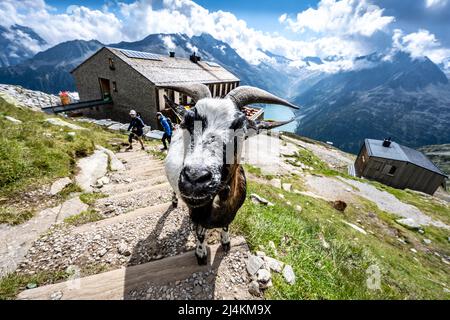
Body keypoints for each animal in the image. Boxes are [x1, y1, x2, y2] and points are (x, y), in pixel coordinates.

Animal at [163, 83, 298, 264]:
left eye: (241, 129)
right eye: (188, 122)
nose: (195, 178)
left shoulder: (231, 213)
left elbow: (226, 226)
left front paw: (226, 242)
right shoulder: (198, 215)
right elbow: (200, 235)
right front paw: (201, 254)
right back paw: (174, 201)